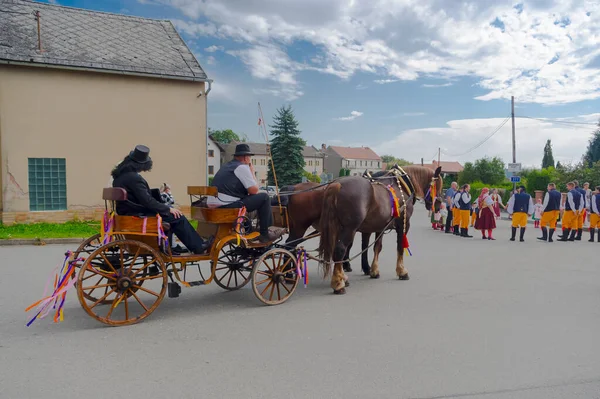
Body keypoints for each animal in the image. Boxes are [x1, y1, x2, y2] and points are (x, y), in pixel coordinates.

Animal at [318, 165, 440, 294]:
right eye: (438, 184)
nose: (438, 206)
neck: (401, 185)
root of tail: (337, 184)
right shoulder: (404, 224)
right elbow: (400, 246)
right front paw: (401, 271)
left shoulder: (380, 227)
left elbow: (377, 247)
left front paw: (374, 270)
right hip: (349, 229)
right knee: (340, 250)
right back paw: (338, 284)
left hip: (337, 228)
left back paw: (343, 277)